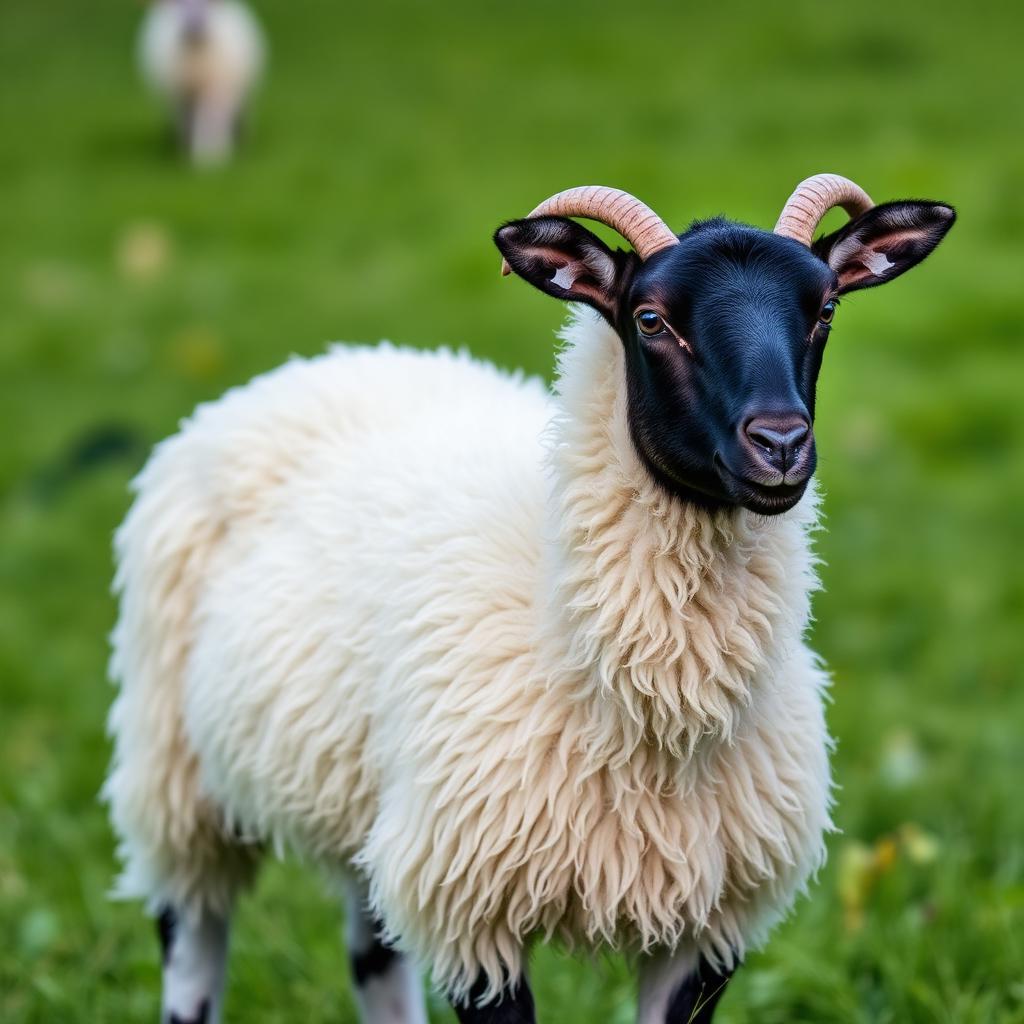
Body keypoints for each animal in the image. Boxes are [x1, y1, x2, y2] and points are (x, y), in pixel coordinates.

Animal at [103, 174, 954, 1024]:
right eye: (650, 319)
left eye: (826, 308)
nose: (780, 444)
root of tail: (327, 361)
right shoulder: (471, 911)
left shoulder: (710, 927)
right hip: (173, 771)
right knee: (191, 938)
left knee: (373, 954)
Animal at [138, 0, 265, 165]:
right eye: (179, 5)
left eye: (207, 6)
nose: (195, 25)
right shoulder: (180, 94)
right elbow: (186, 120)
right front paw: (190, 151)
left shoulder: (218, 88)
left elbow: (211, 119)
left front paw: (212, 155)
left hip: (243, 95)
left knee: (239, 115)